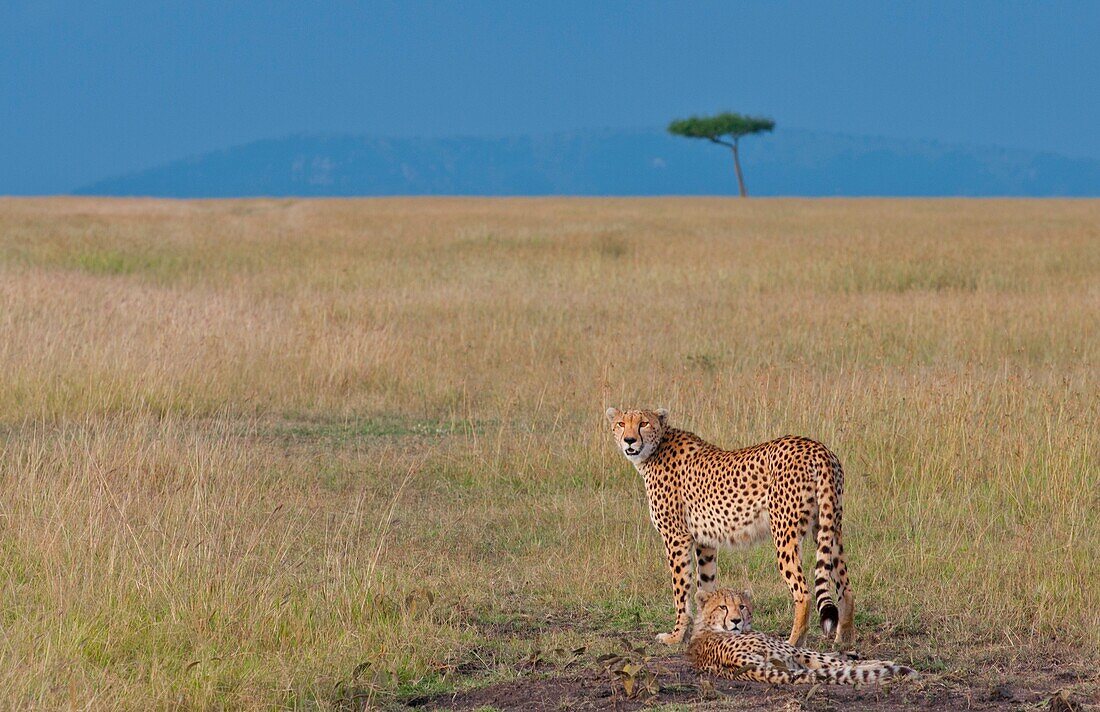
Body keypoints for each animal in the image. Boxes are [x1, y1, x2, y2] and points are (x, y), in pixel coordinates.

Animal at [607, 407, 853, 647]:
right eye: (621, 424)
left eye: (643, 423)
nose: (629, 440)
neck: (654, 450)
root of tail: (817, 448)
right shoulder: (705, 542)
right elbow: (705, 587)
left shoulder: (676, 538)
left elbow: (681, 591)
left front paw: (675, 637)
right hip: (828, 527)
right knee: (845, 587)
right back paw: (843, 641)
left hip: (786, 533)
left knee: (804, 592)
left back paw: (793, 642)